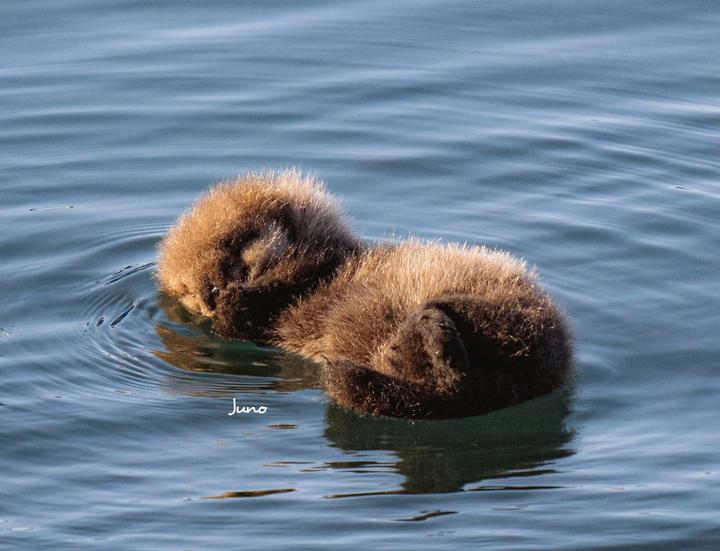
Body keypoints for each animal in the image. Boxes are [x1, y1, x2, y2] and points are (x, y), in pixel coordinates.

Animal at [157, 170, 572, 419]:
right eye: (186, 292)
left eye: (230, 247)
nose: (210, 295)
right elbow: (239, 324)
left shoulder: (310, 262)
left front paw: (238, 296)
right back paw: (420, 340)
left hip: (509, 311)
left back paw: (431, 322)